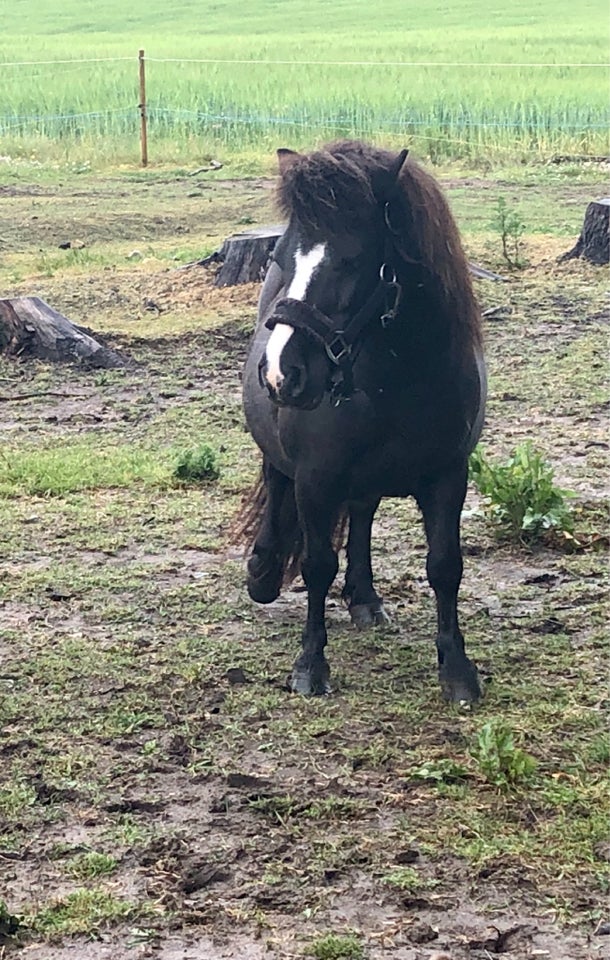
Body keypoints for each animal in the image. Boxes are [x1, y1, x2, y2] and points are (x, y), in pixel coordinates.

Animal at [240, 139, 482, 700]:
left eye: (352, 261)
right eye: (280, 257)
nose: (282, 373)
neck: (398, 381)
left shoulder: (448, 476)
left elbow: (445, 566)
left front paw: (457, 669)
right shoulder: (315, 480)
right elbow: (315, 564)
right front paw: (310, 666)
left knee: (364, 512)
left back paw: (365, 597)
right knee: (275, 479)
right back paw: (263, 571)